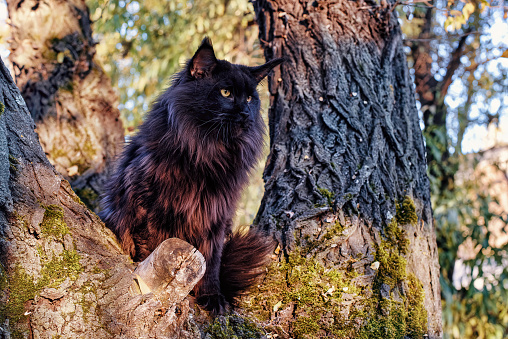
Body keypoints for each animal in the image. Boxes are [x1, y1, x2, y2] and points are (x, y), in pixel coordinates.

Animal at [99, 37, 282, 314]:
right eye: (226, 93)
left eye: (250, 98)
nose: (244, 113)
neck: (208, 151)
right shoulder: (149, 205)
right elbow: (150, 243)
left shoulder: (216, 217)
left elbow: (211, 263)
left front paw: (213, 299)